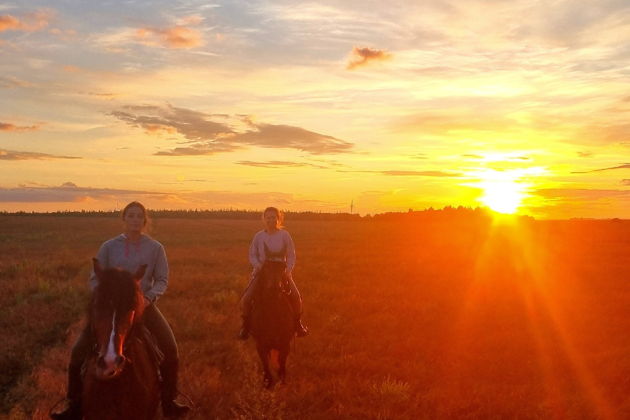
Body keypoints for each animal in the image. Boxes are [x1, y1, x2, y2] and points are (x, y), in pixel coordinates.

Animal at [251, 260, 298, 388]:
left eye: (282, 269)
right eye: (266, 268)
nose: (274, 288)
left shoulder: (285, 344)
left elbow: (282, 362)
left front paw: (282, 380)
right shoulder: (261, 345)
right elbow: (265, 363)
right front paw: (267, 382)